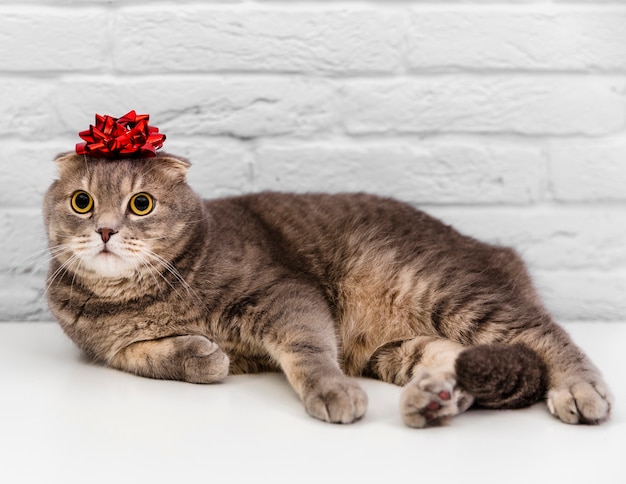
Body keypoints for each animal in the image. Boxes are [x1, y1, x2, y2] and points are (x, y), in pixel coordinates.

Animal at [42, 152, 608, 428]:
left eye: (141, 204)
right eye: (81, 201)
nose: (106, 230)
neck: (139, 297)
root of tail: (495, 250)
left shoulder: (284, 295)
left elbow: (308, 349)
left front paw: (331, 390)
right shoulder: (106, 350)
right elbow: (145, 357)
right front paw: (202, 356)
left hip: (441, 288)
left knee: (543, 332)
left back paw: (579, 391)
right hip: (397, 349)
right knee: (458, 358)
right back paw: (434, 399)